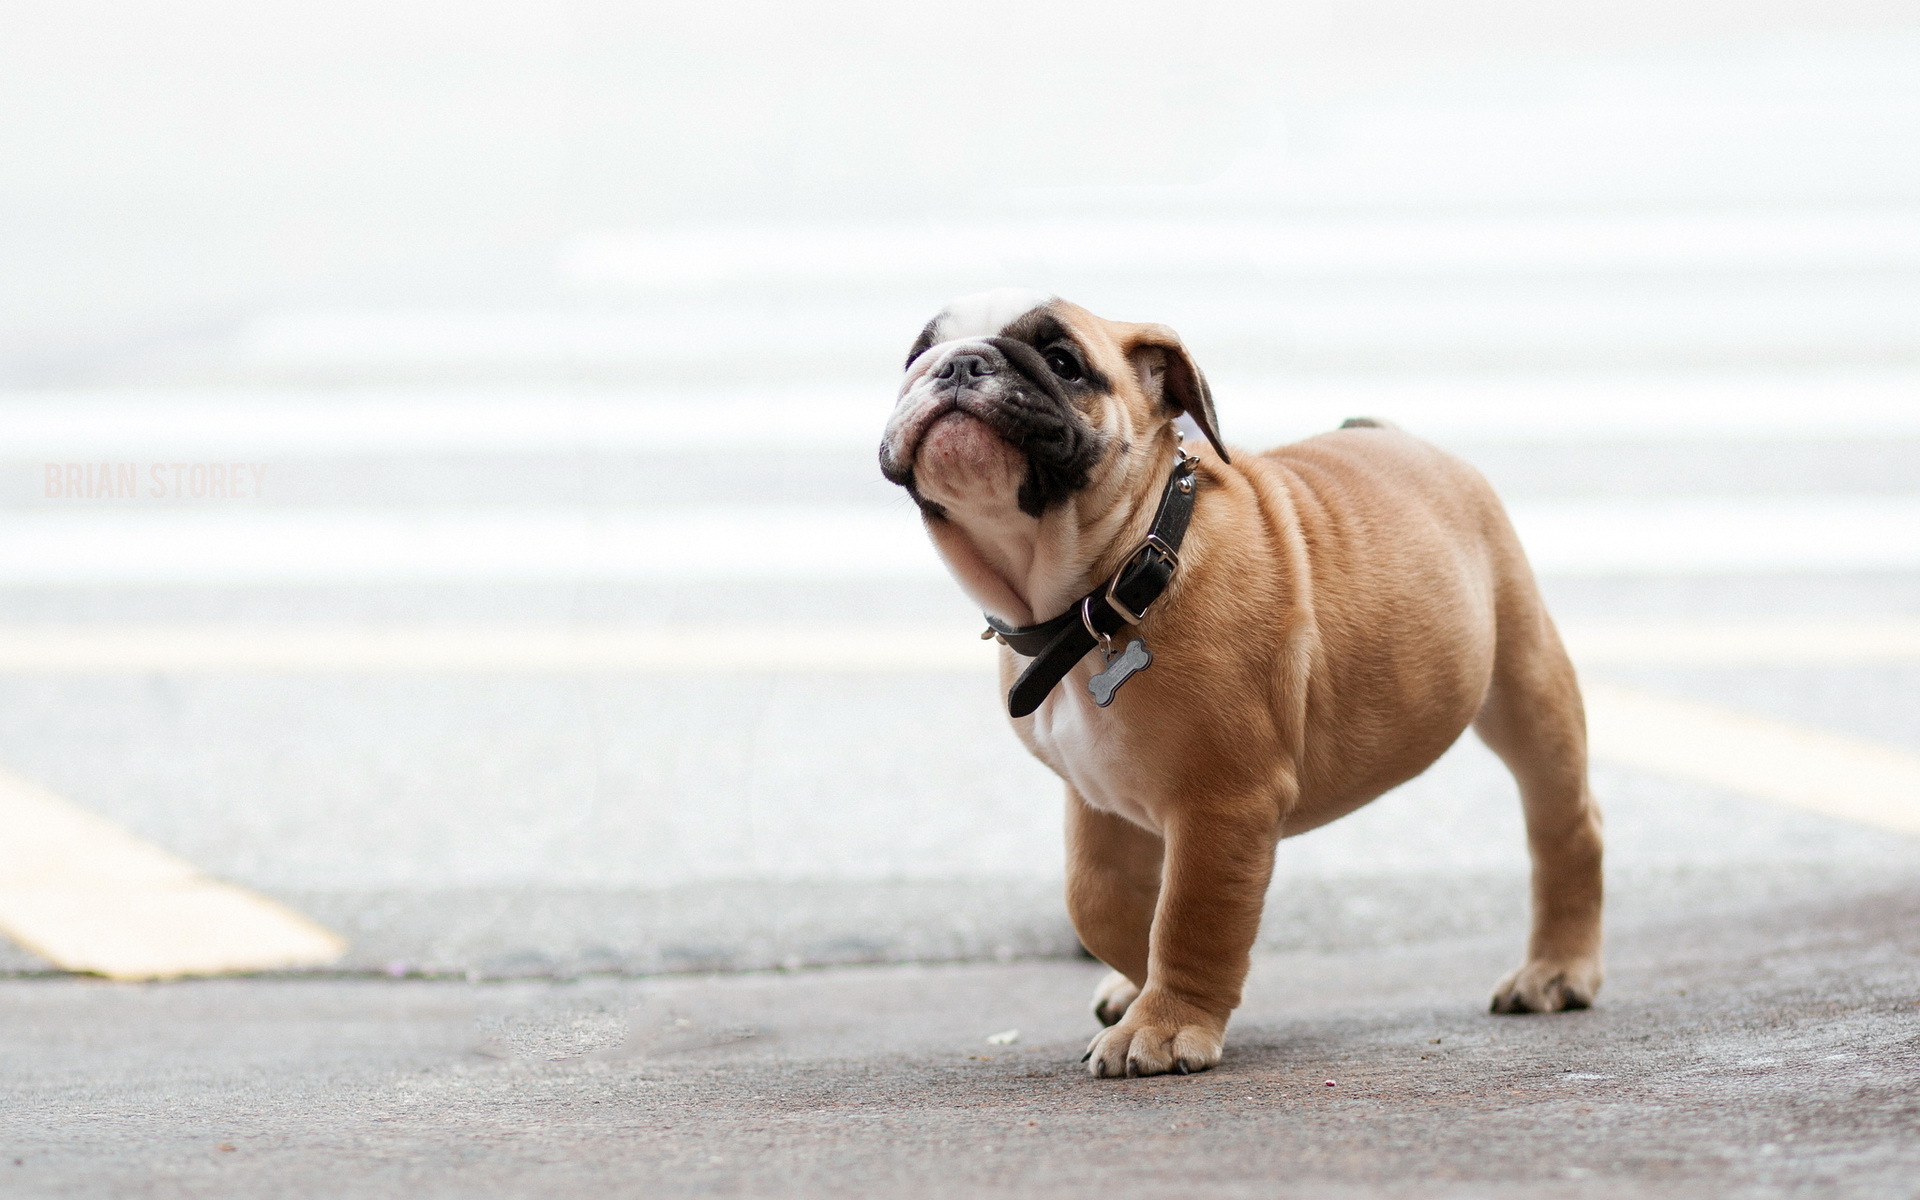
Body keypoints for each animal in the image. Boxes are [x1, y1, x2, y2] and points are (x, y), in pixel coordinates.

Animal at [883, 288, 1605, 1075]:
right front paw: (1141, 985)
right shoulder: (1099, 797)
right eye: (916, 353)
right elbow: (1100, 901)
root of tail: (1395, 435)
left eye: (1063, 362)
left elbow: (1190, 914)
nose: (958, 363)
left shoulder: (1223, 799)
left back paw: (1555, 971)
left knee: (1567, 827)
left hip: (1525, 686)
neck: (1113, 578)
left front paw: (1165, 1022)